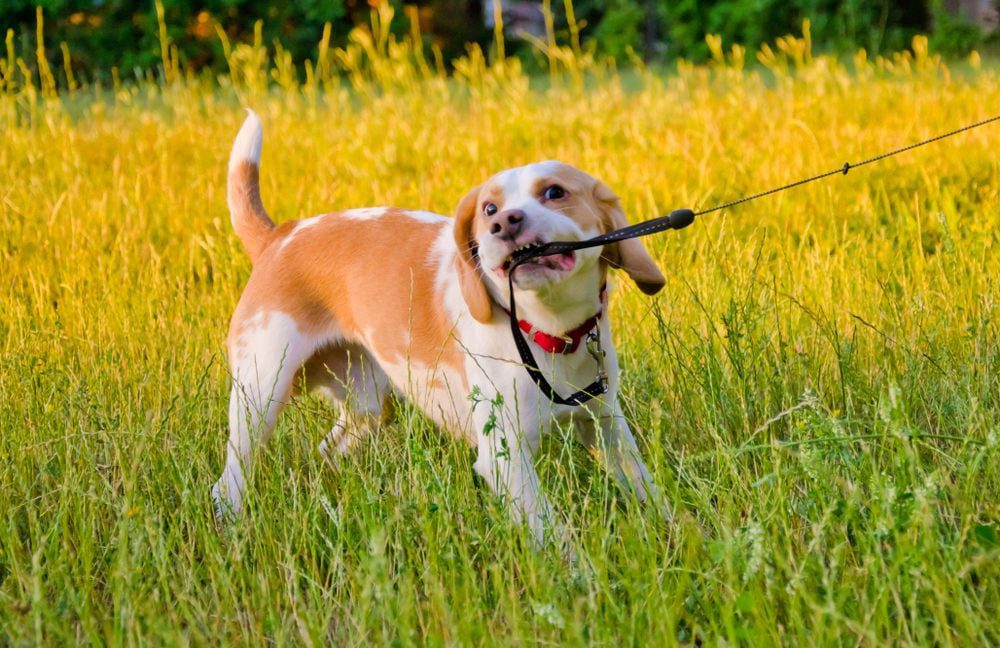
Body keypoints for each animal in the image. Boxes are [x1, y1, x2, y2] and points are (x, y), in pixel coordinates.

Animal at [212, 110, 668, 548]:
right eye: (488, 209)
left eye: (555, 192)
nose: (504, 222)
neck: (548, 332)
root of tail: (281, 235)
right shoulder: (506, 458)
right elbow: (556, 537)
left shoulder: (606, 425)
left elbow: (648, 490)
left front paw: (673, 533)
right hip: (260, 397)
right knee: (228, 480)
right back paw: (229, 523)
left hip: (367, 405)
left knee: (327, 449)